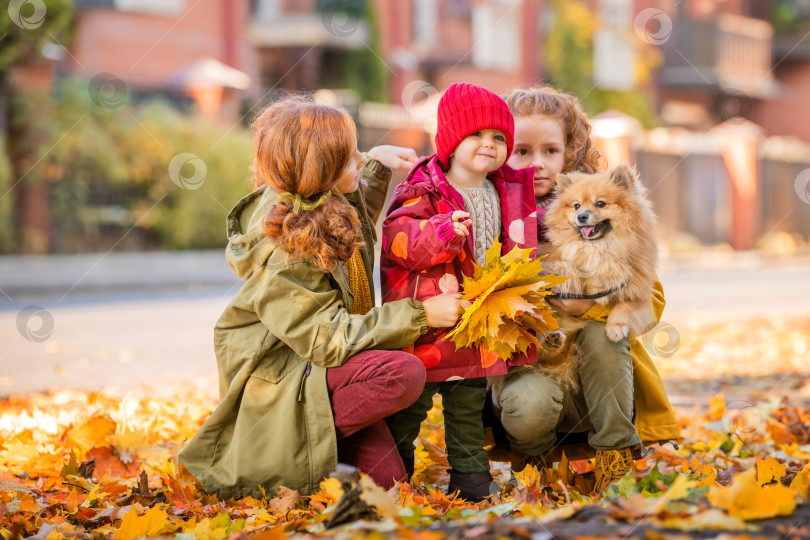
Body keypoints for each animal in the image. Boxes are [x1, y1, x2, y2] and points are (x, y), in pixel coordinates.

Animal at [532, 165, 660, 392]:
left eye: (600, 203)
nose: (582, 216)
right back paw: (550, 340)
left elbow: (624, 306)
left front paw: (616, 327)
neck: (601, 247)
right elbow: (573, 272)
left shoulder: (639, 288)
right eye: (576, 206)